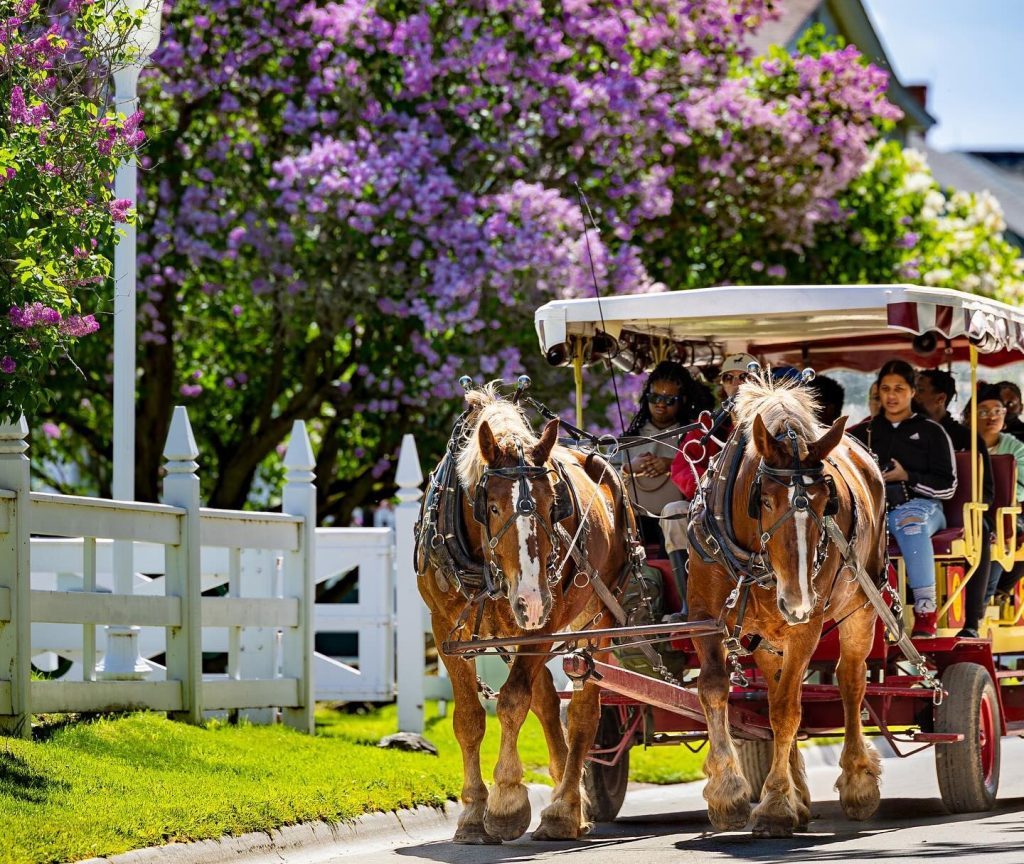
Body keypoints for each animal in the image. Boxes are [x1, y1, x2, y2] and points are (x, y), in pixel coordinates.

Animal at [413, 384, 634, 843]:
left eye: (554, 505)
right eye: (492, 507)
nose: (531, 600)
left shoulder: (540, 628)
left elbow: (514, 701)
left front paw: (506, 801)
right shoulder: (445, 630)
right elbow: (468, 718)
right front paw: (471, 813)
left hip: (598, 618)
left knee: (583, 712)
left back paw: (564, 809)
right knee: (548, 697)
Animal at [688, 378, 888, 835]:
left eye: (827, 501)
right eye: (763, 500)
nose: (797, 600)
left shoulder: (805, 628)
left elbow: (784, 711)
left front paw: (776, 803)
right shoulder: (704, 618)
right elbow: (714, 689)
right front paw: (728, 792)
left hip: (860, 608)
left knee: (850, 681)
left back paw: (856, 781)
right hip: (764, 635)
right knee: (779, 682)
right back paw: (800, 791)